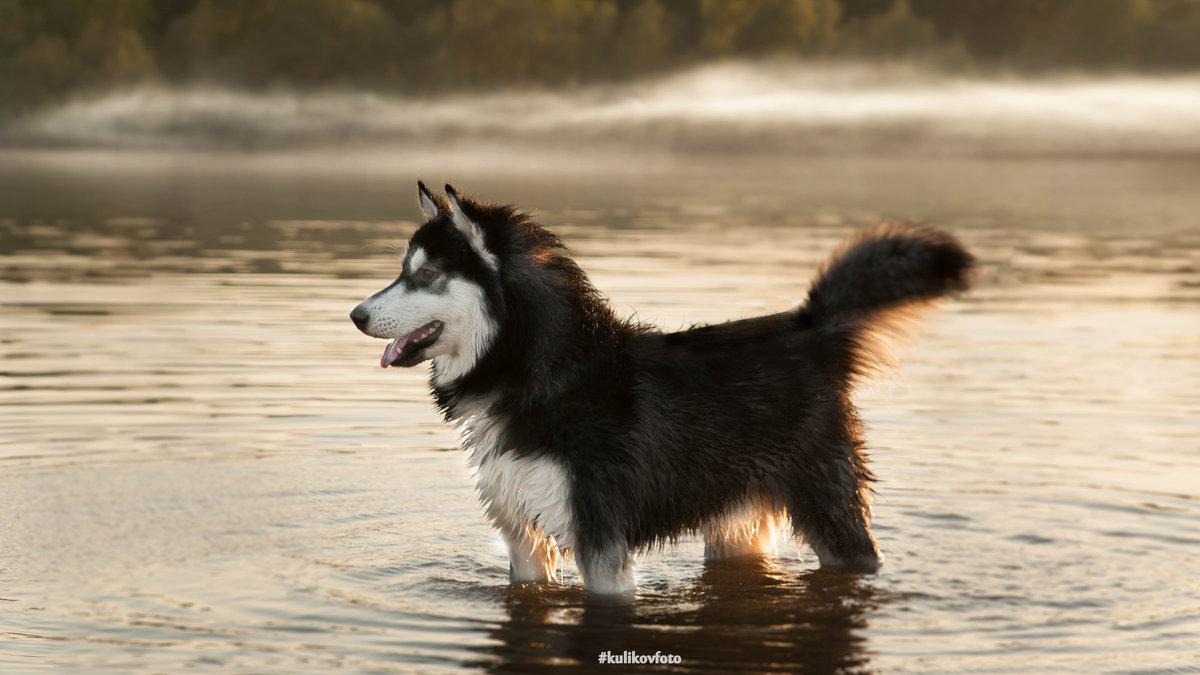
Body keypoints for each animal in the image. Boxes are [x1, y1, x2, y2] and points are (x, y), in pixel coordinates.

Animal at [350, 181, 974, 590]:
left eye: (426, 275)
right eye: (403, 270)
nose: (355, 315)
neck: (543, 375)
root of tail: (807, 326)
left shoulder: (600, 541)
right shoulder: (522, 538)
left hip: (831, 513)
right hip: (734, 527)